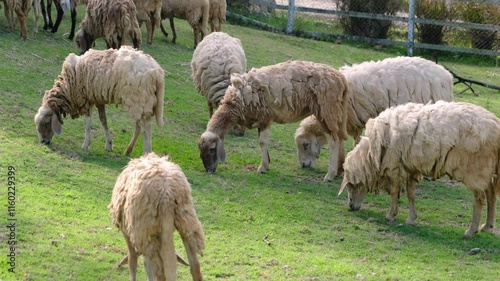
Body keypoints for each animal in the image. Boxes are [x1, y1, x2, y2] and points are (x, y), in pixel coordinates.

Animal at [33, 46, 166, 155]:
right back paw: (128, 150)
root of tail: (158, 73)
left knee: (146, 128)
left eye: (46, 123)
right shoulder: (97, 98)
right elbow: (103, 120)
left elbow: (88, 122)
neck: (69, 86)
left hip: (140, 99)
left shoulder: (86, 98)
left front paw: (85, 144)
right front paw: (109, 144)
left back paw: (146, 152)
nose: (43, 142)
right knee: (139, 126)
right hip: (140, 102)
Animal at [197, 59, 350, 179]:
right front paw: (267, 162)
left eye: (212, 149)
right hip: (334, 113)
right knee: (339, 139)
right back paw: (337, 171)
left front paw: (262, 167)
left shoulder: (265, 117)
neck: (234, 103)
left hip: (327, 110)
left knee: (334, 142)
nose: (209, 171)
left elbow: (262, 142)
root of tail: (341, 79)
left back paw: (330, 175)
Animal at [340, 99, 500, 237]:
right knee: (491, 194)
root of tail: (496, 125)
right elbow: (411, 194)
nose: (351, 207)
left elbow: (394, 193)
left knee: (479, 199)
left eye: (351, 186)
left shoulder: (394, 167)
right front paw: (411, 219)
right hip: (486, 168)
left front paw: (391, 215)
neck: (371, 155)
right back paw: (487, 226)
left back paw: (471, 231)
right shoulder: (411, 168)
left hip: (476, 169)